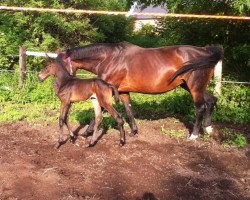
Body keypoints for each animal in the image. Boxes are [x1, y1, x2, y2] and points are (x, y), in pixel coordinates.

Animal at [57, 41, 223, 140]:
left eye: (59, 65)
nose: (59, 85)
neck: (110, 58)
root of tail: (205, 51)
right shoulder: (123, 92)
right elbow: (129, 110)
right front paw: (133, 131)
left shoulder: (106, 90)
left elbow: (100, 111)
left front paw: (86, 132)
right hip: (190, 86)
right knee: (211, 100)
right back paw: (208, 128)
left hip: (195, 87)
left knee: (200, 107)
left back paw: (193, 136)